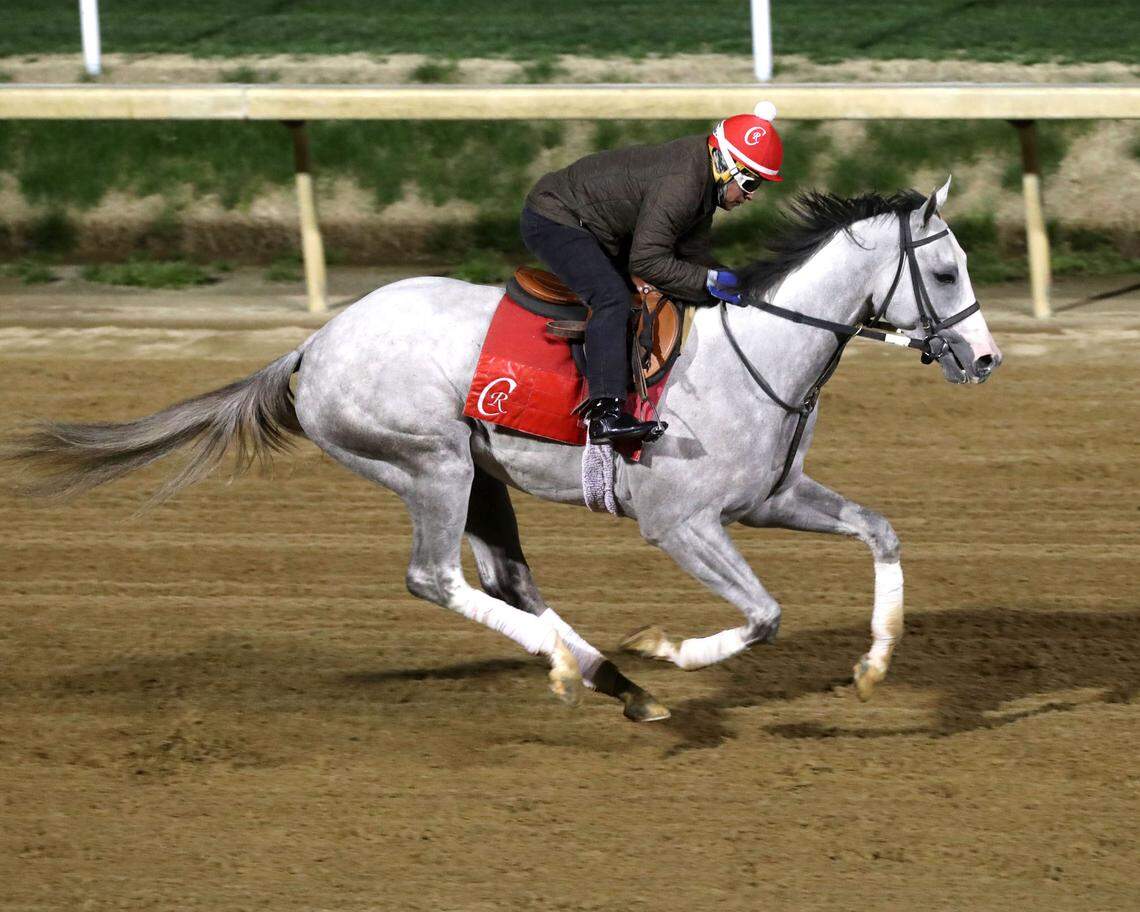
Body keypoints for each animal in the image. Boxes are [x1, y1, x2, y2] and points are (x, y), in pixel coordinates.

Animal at [5, 177, 1002, 723]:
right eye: (944, 269)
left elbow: (880, 530)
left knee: (510, 581)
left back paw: (613, 681)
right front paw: (670, 649)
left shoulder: (771, 498)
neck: (757, 353)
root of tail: (312, 348)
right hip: (430, 463)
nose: (986, 358)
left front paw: (875, 665)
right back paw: (582, 667)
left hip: (483, 476)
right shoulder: (680, 523)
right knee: (435, 578)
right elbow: (764, 615)